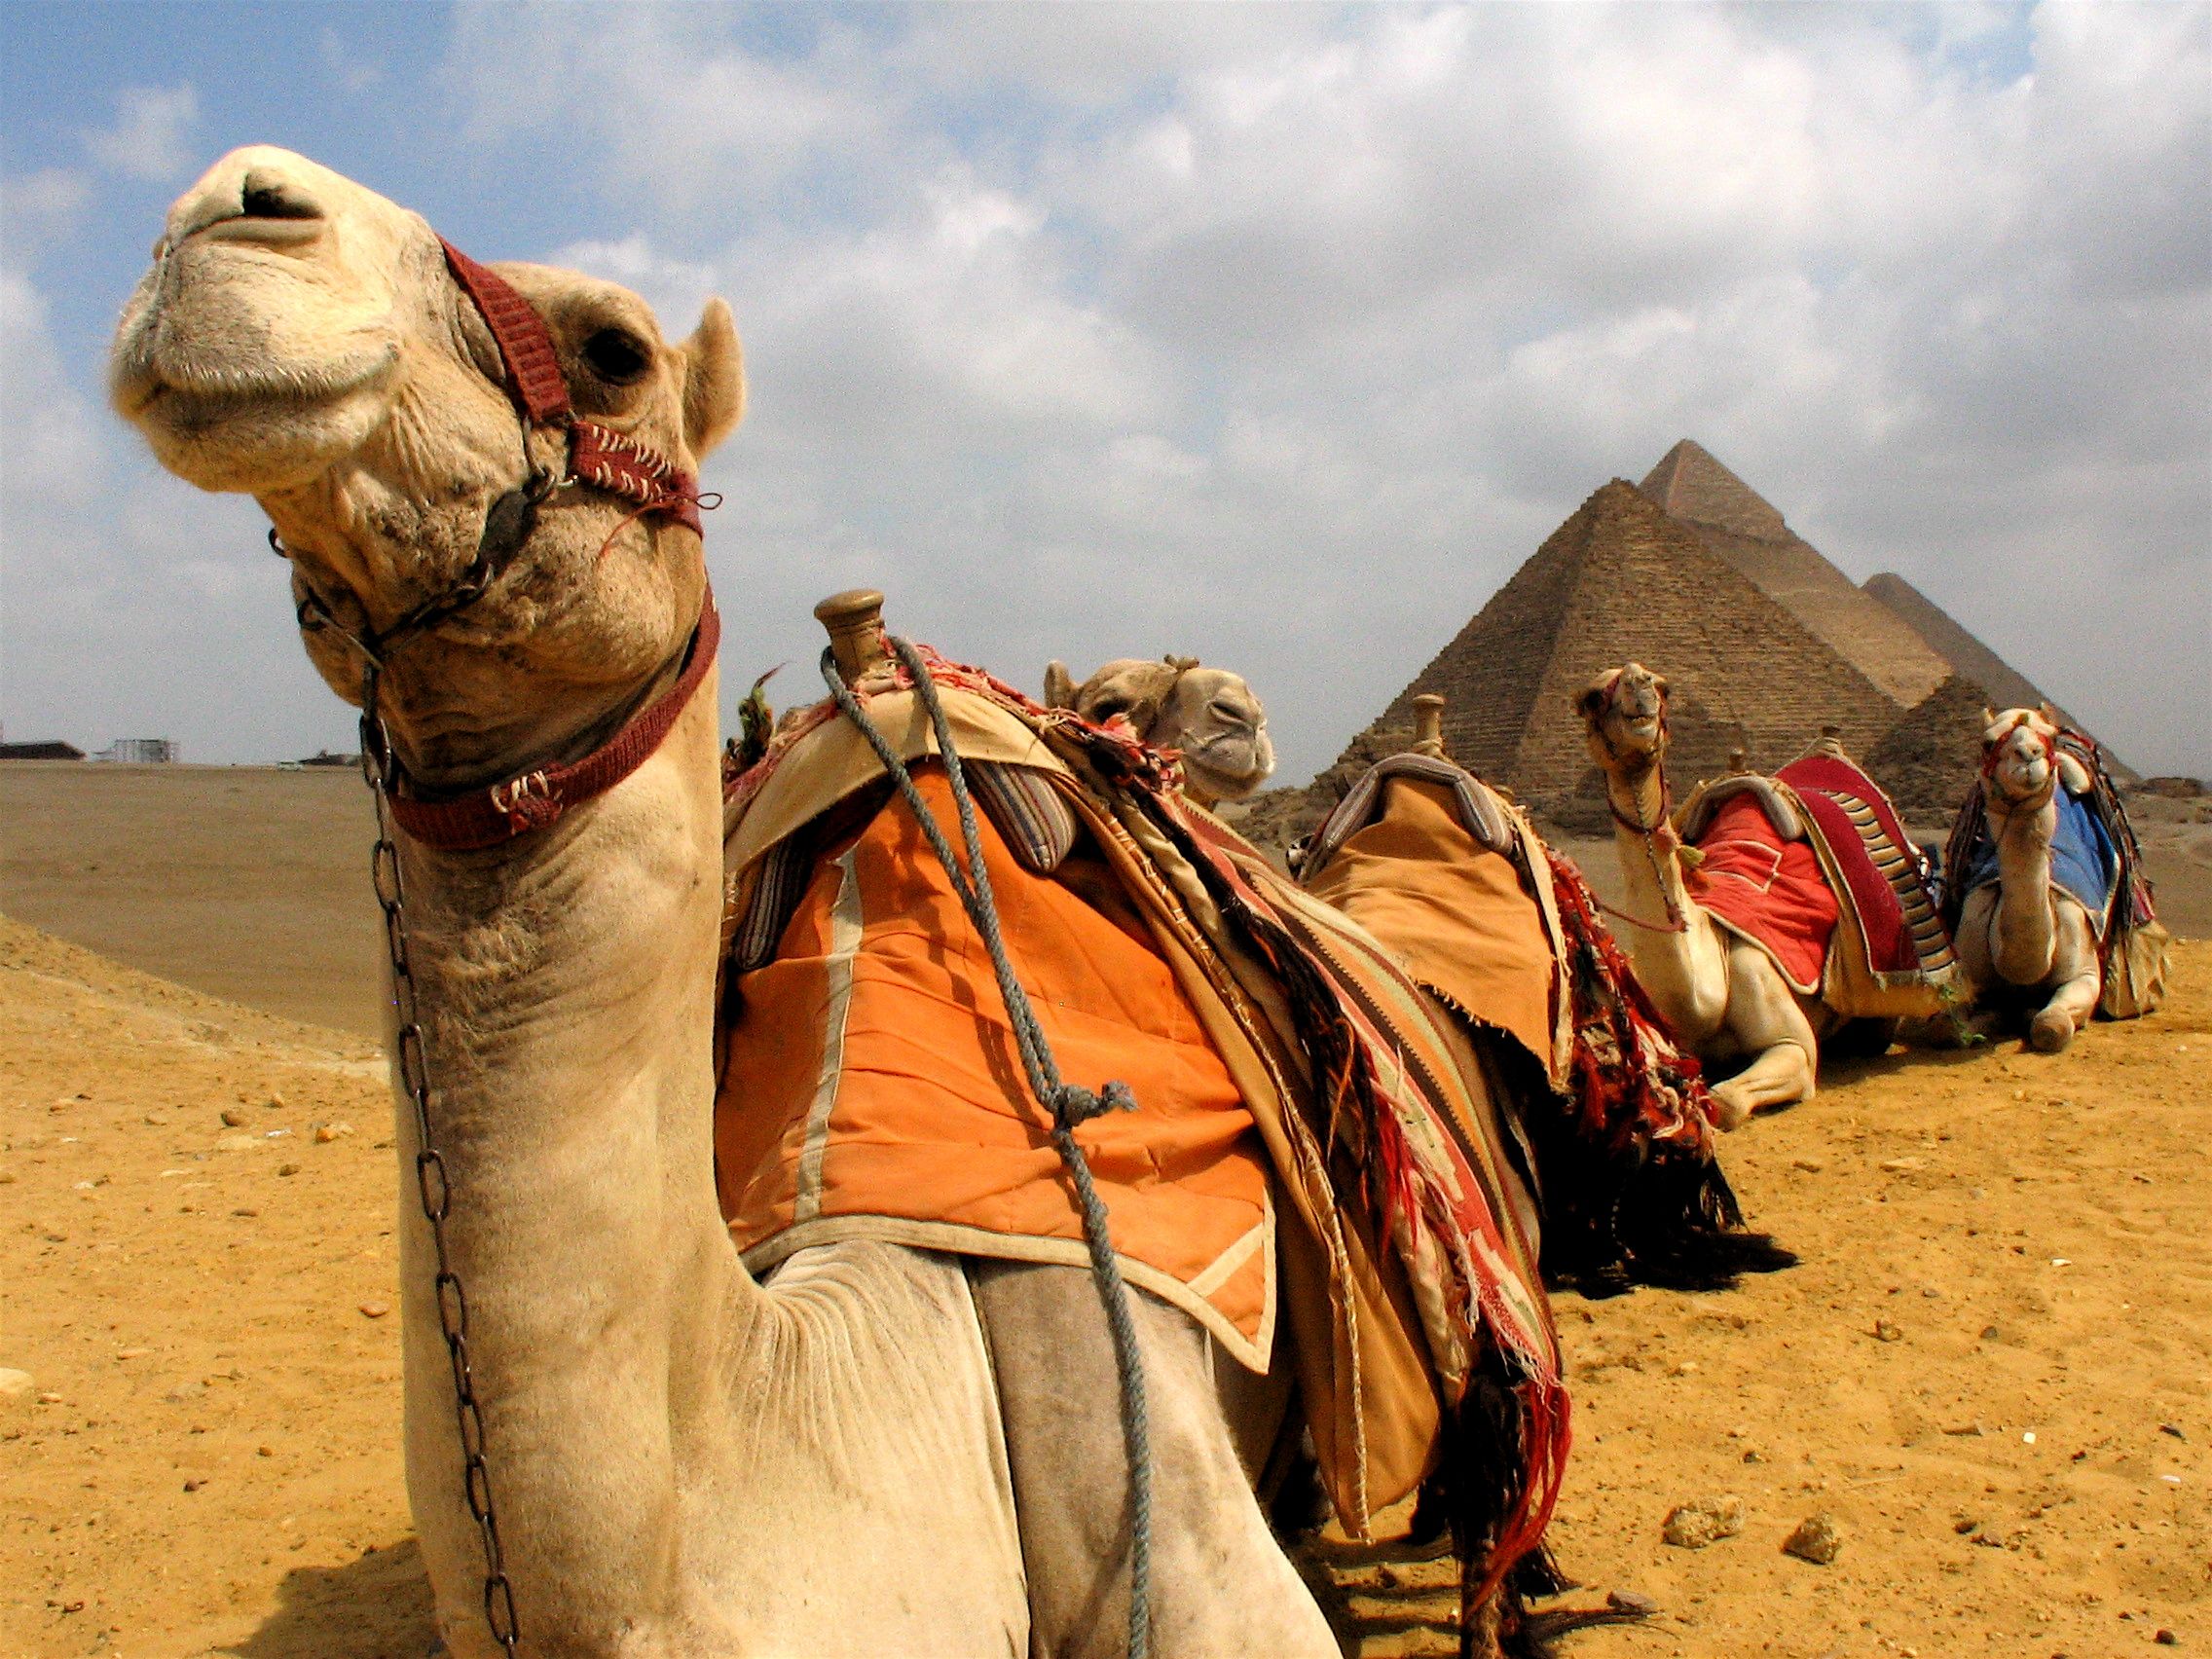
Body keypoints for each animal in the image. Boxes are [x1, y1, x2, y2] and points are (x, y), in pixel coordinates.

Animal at [1950, 707, 2108, 1052]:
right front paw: (1993, 1018)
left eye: (2050, 737)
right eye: (1987, 742)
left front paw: (2031, 1013)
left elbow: (2051, 1026)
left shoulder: (2086, 975)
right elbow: (1950, 1028)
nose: (2029, 754)